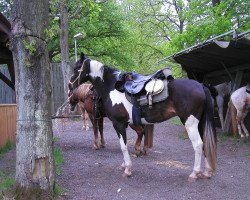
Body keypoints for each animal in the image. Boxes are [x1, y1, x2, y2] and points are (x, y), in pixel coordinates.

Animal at [69, 54, 217, 182]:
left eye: (77, 68)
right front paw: (124, 164)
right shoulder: (123, 123)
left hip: (190, 123)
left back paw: (194, 173)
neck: (111, 88)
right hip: (200, 123)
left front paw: (128, 169)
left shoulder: (118, 123)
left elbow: (123, 146)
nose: (70, 85)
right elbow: (124, 144)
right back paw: (207, 171)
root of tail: (200, 85)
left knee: (198, 145)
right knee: (204, 143)